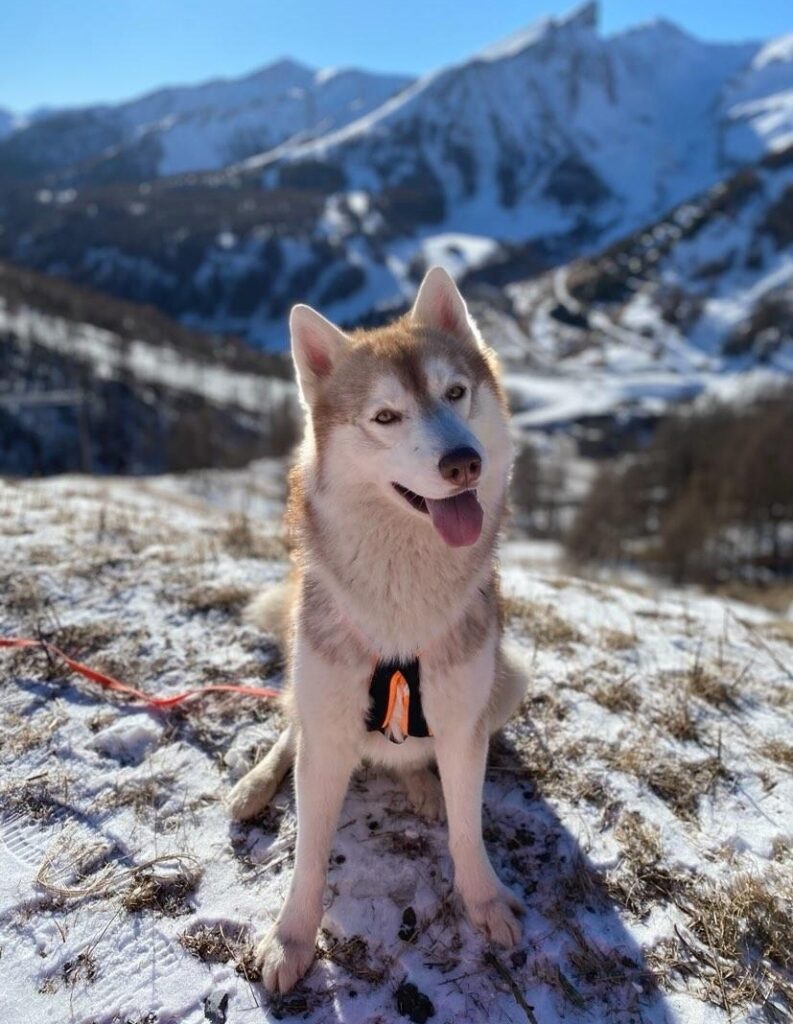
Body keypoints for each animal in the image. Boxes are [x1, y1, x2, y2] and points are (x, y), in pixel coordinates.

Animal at [229, 264, 528, 991]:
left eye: (455, 392)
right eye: (385, 416)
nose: (463, 462)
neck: (401, 606)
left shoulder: (463, 721)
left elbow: (467, 829)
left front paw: (484, 901)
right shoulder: (328, 726)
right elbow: (308, 851)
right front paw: (290, 941)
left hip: (508, 680)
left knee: (417, 757)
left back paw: (420, 783)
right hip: (308, 686)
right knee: (291, 730)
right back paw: (255, 784)